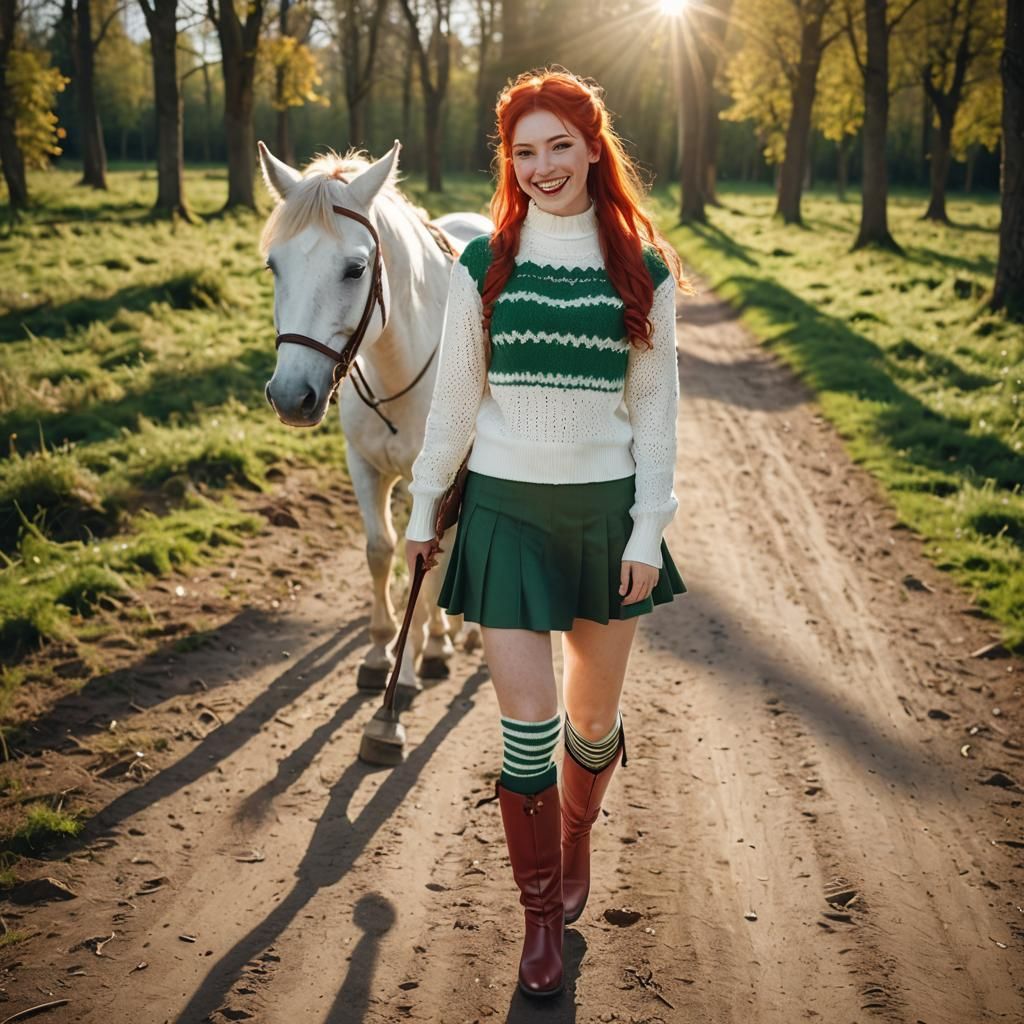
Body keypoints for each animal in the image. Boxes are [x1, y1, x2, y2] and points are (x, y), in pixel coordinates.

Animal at [256, 140, 490, 748]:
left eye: (355, 268)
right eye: (274, 265)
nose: (290, 396)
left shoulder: (432, 483)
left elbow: (422, 566)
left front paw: (408, 671)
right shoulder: (363, 466)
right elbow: (381, 551)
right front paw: (378, 652)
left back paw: (453, 638)